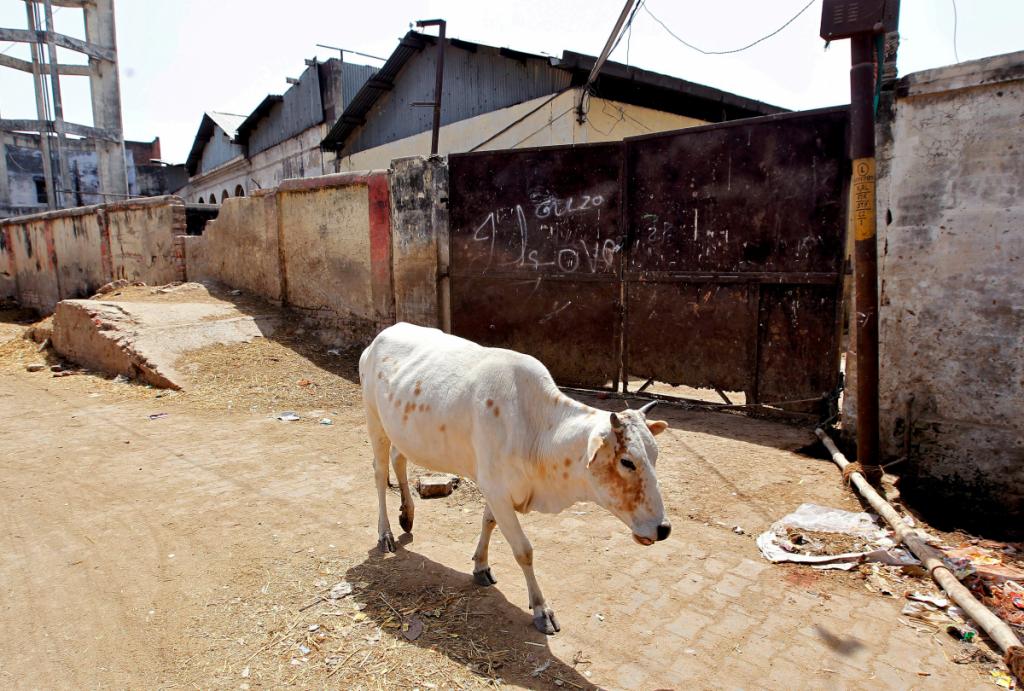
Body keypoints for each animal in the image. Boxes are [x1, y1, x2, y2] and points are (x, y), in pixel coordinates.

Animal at [360, 321, 671, 634]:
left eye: (655, 455)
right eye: (627, 462)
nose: (664, 528)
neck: (535, 428)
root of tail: (381, 336)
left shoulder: (497, 490)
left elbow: (488, 522)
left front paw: (481, 566)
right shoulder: (496, 489)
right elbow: (523, 550)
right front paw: (541, 609)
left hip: (401, 431)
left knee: (399, 459)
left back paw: (407, 515)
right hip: (375, 421)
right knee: (379, 472)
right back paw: (385, 534)